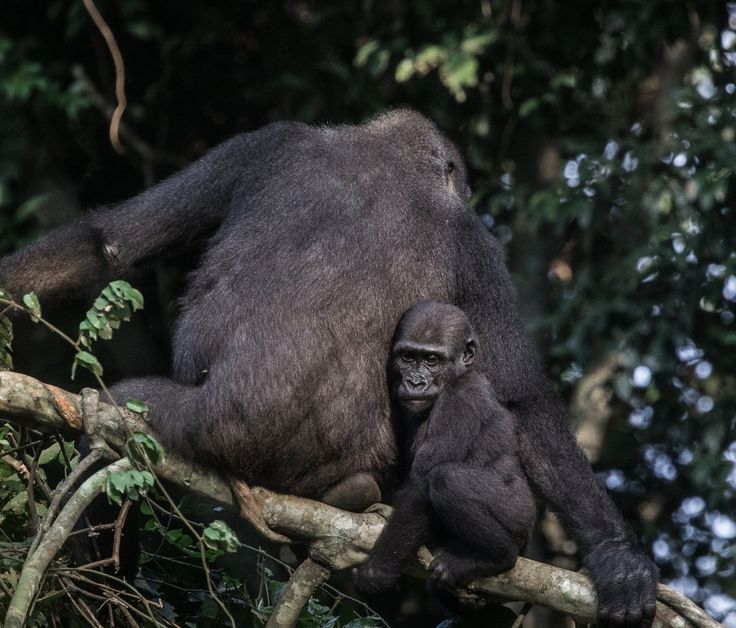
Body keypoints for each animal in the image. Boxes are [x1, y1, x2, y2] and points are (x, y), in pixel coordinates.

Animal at [356, 302, 536, 592]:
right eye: (408, 357)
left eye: (432, 360)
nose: (415, 382)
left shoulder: (460, 399)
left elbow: (420, 486)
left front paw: (375, 572)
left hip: (519, 512)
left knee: (447, 480)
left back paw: (497, 557)